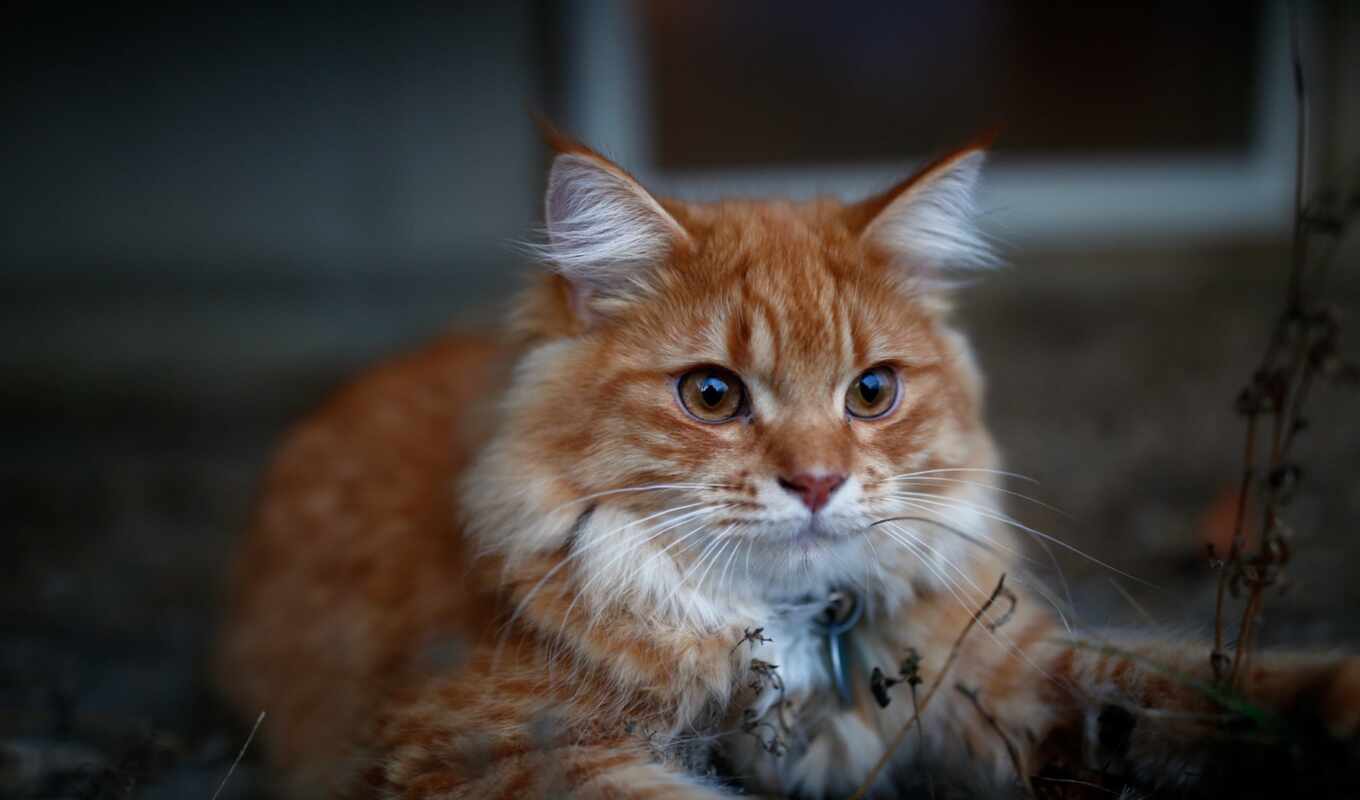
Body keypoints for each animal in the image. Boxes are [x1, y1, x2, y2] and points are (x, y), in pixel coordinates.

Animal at [214, 132, 1360, 800]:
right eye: (713, 396)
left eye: (872, 392)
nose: (815, 483)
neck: (798, 625)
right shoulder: (497, 750)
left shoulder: (1011, 675)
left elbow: (1201, 679)